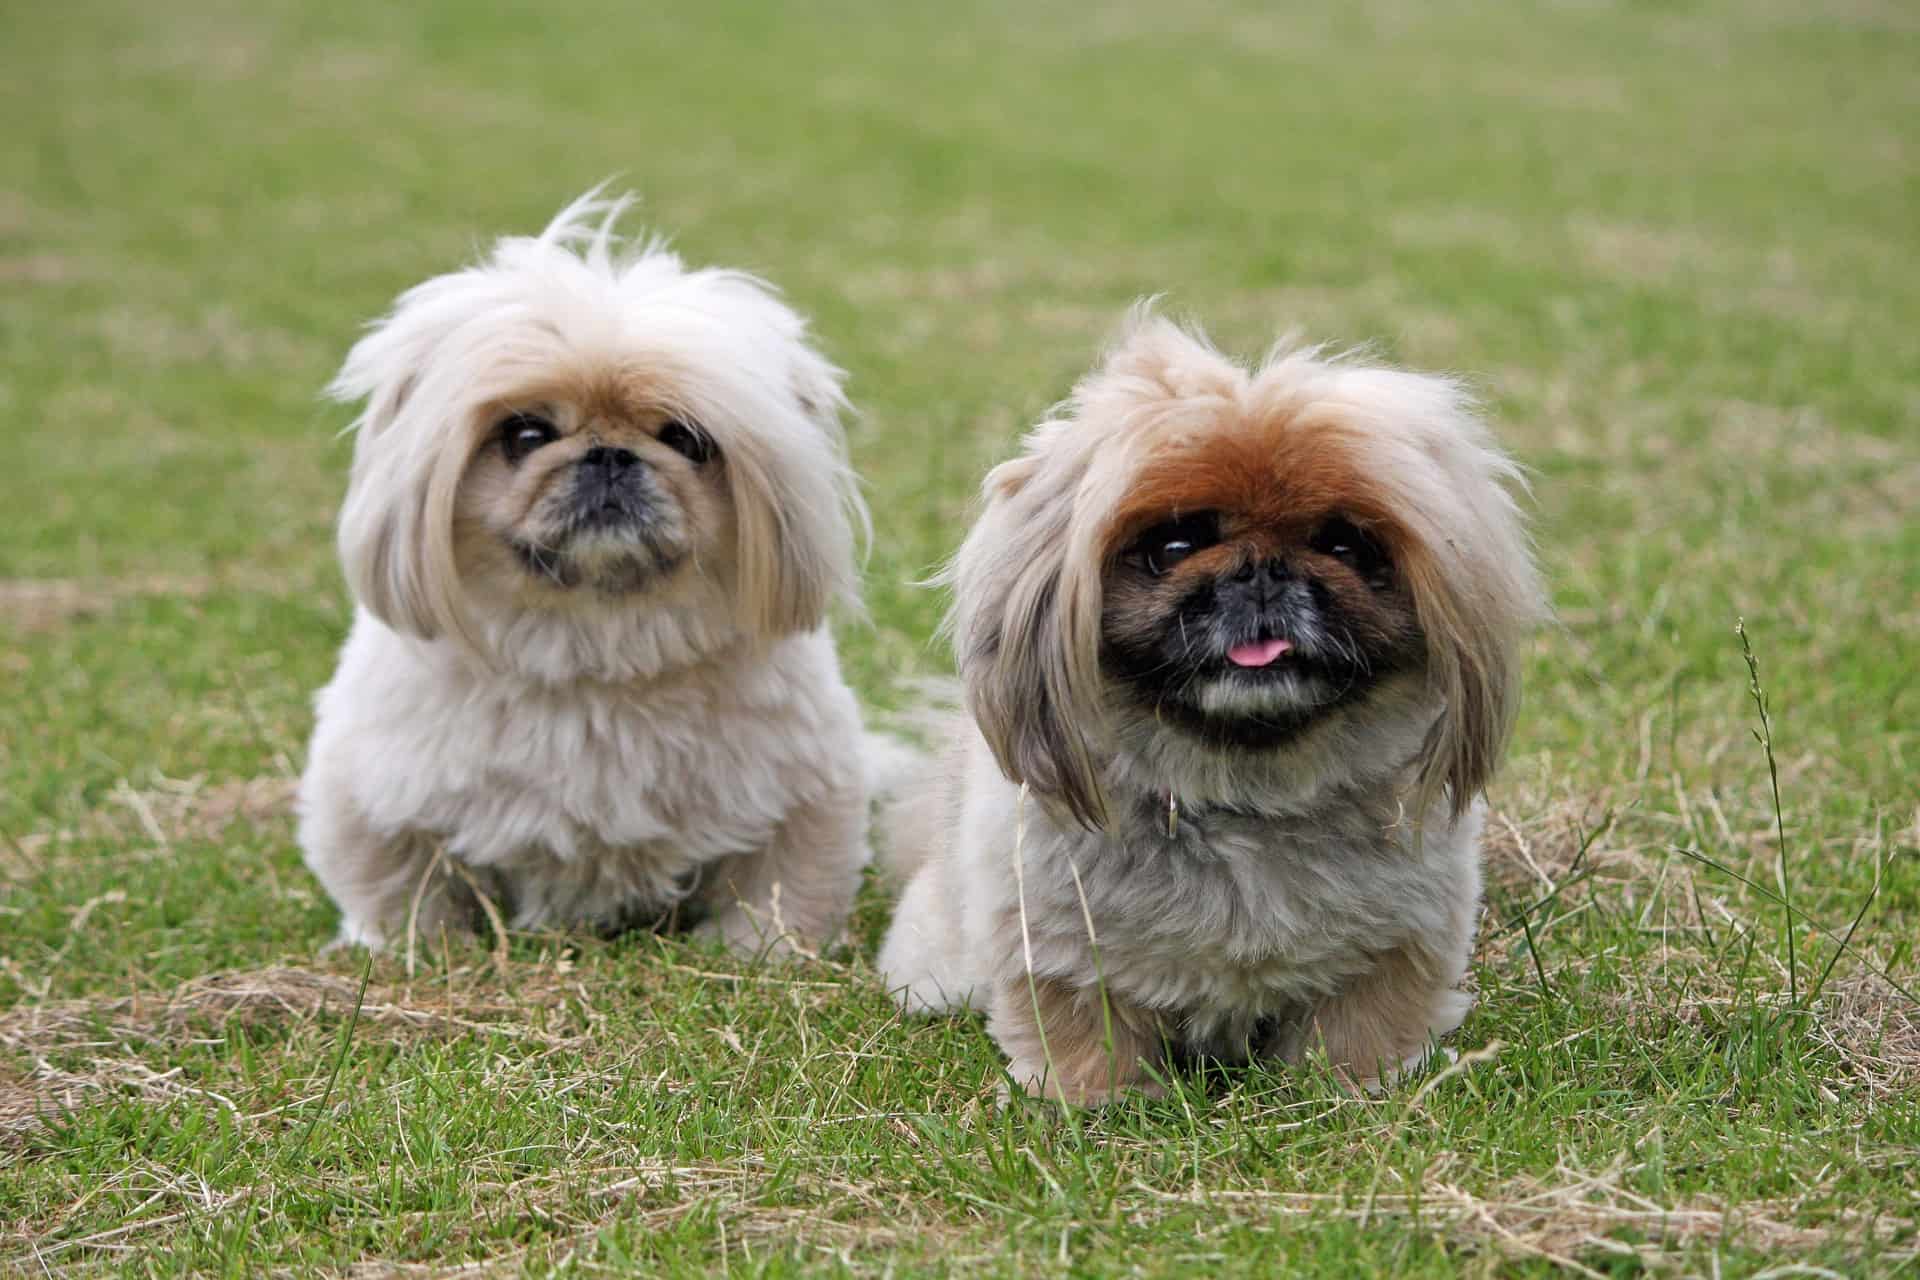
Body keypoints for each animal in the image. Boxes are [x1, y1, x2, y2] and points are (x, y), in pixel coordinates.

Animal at [299, 195, 871, 955]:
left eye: (684, 439)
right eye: (526, 435)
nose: (608, 455)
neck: (594, 649)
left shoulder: (806, 796)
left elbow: (781, 891)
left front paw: (759, 954)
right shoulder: (371, 796)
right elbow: (400, 887)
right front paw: (412, 949)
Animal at [879, 310, 1551, 1105]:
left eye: (1344, 545)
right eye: (1175, 545)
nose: (1263, 571)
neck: (1243, 793)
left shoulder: (1399, 944)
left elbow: (1363, 1026)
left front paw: (1359, 1088)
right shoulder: (1056, 949)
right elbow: (1080, 1032)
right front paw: (1088, 1101)